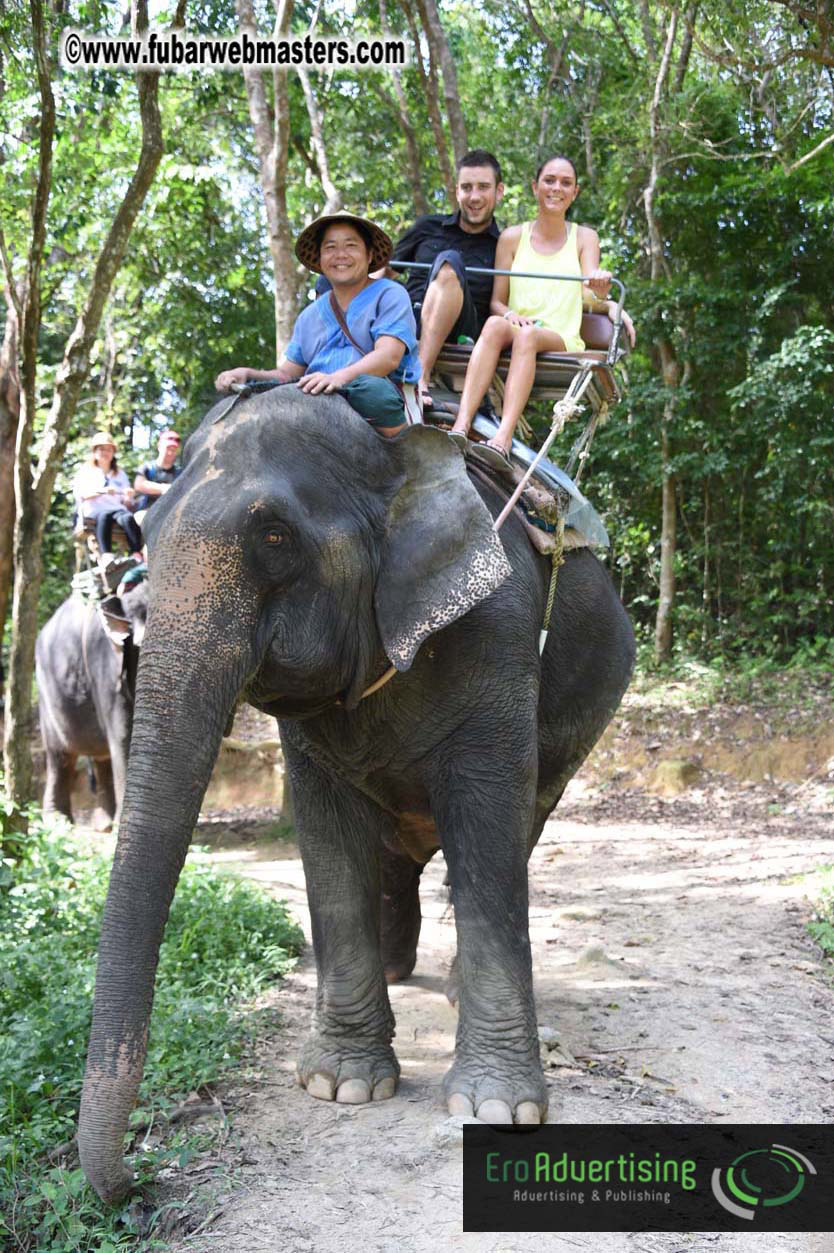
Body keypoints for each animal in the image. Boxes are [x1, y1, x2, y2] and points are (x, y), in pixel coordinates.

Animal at [36, 581, 148, 828]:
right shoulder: (106, 668)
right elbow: (124, 736)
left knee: (100, 756)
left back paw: (103, 824)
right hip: (47, 697)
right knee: (60, 756)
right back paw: (58, 822)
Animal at [78, 388, 634, 1204]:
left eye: (274, 535)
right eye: (143, 534)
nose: (137, 1184)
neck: (392, 459)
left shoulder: (499, 631)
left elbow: (488, 824)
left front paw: (497, 1107)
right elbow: (328, 841)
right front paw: (341, 1086)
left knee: (524, 822)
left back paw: (453, 988)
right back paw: (400, 969)